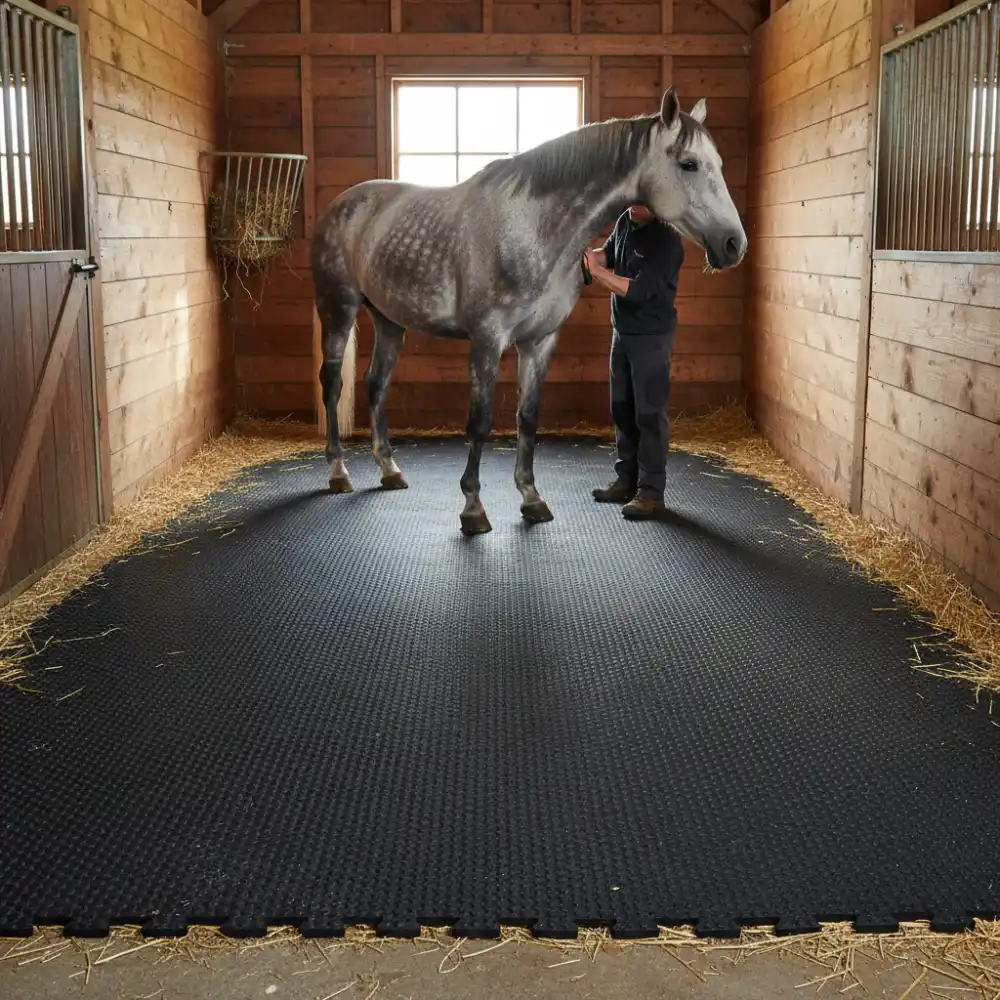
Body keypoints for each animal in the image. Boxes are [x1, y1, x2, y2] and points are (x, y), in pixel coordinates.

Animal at [310, 87, 747, 535]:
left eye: (718, 164)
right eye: (689, 163)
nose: (734, 244)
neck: (533, 229)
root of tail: (343, 204)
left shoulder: (540, 341)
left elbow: (528, 417)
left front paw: (532, 498)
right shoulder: (487, 340)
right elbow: (480, 421)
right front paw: (473, 508)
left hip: (389, 320)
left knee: (376, 384)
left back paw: (389, 470)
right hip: (338, 310)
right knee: (332, 385)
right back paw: (338, 472)